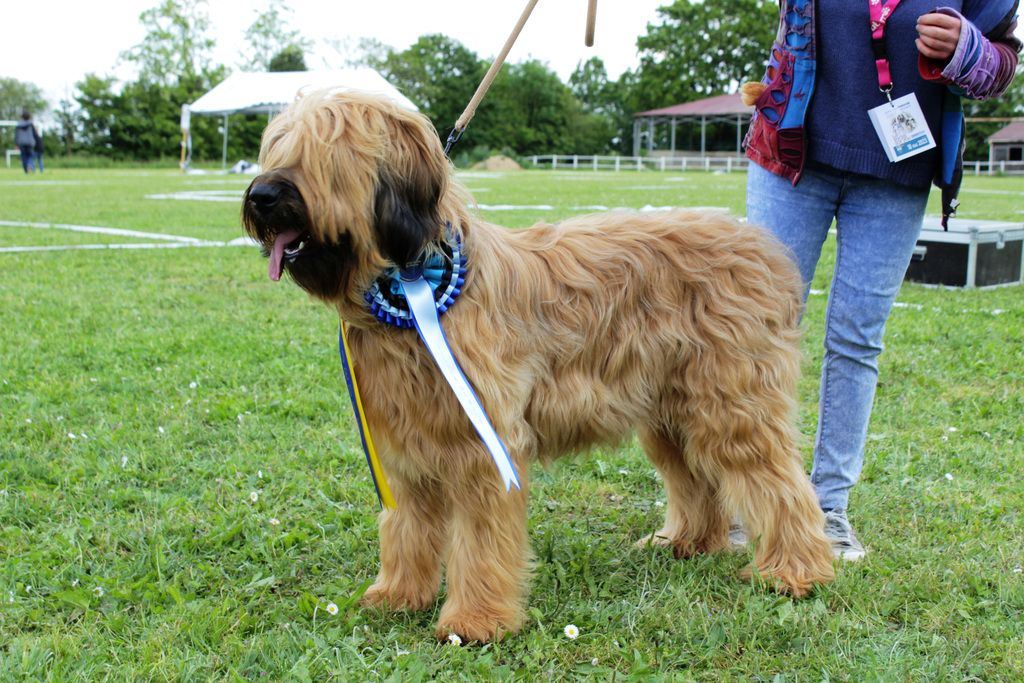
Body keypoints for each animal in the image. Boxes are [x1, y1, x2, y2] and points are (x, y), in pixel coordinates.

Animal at [243, 89, 835, 643]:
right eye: (277, 146)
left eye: (326, 151)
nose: (261, 197)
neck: (415, 281)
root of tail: (763, 249)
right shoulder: (406, 443)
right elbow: (407, 525)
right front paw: (397, 595)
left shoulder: (483, 443)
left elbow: (481, 540)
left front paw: (474, 620)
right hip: (672, 412)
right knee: (698, 480)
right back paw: (689, 542)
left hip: (732, 406)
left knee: (779, 485)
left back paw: (793, 572)